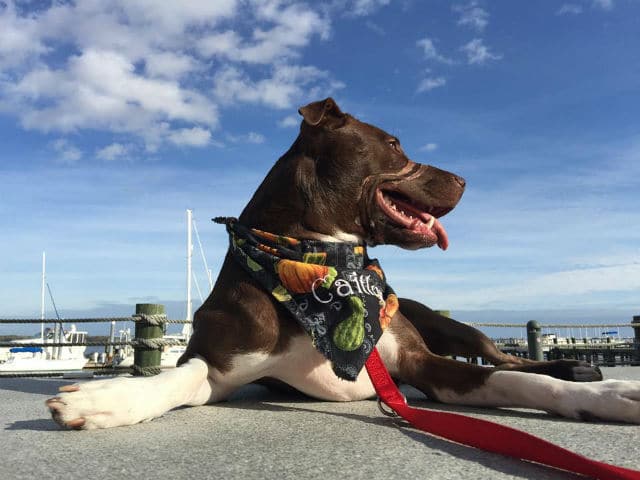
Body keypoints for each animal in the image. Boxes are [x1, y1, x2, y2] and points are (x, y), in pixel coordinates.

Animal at [47, 99, 640, 430]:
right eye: (395, 144)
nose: (466, 180)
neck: (322, 269)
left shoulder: (423, 365)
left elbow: (515, 381)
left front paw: (604, 396)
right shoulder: (222, 368)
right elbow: (178, 378)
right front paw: (108, 399)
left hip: (452, 326)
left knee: (507, 357)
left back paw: (577, 369)